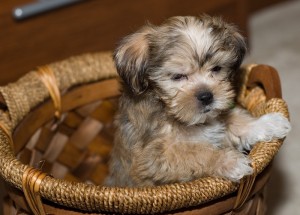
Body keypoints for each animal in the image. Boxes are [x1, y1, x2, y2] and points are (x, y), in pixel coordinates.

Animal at [105, 15, 290, 186]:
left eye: (216, 68)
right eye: (178, 76)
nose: (206, 96)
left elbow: (235, 119)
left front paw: (268, 123)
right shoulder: (153, 157)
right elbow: (195, 152)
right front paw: (229, 161)